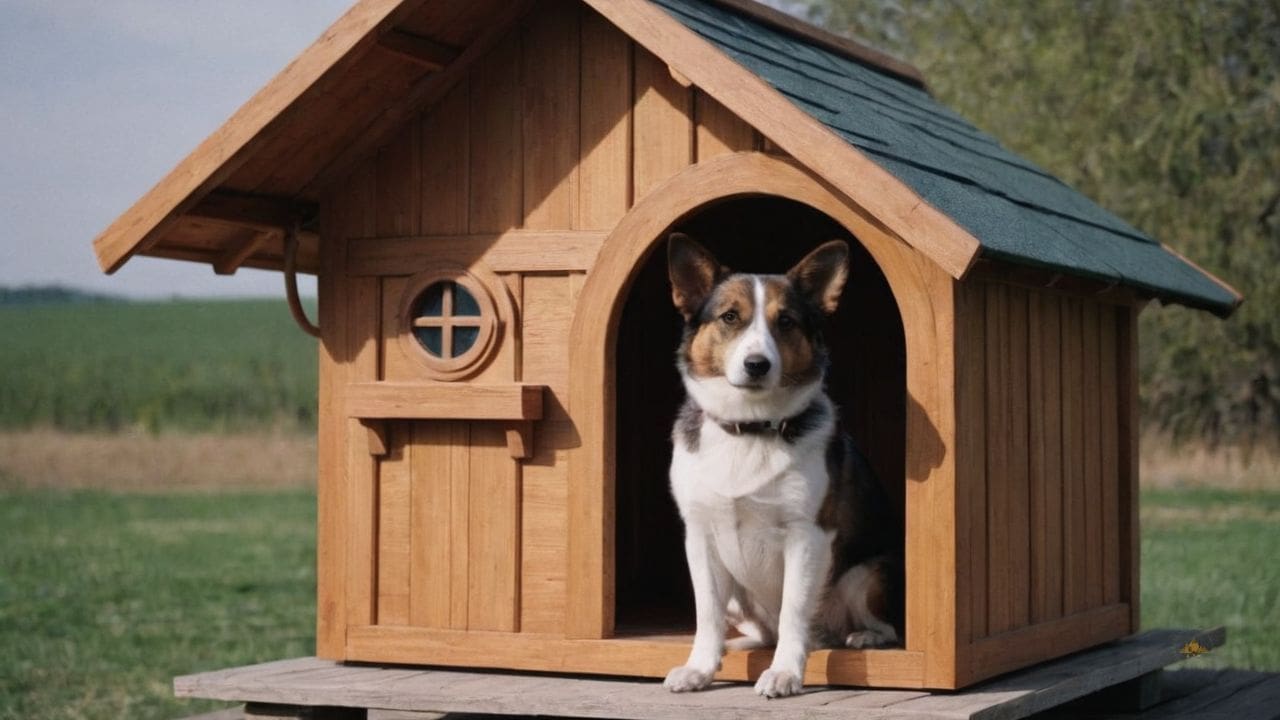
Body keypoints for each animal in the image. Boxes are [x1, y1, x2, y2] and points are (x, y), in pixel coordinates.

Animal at [665, 230, 906, 696]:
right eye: (730, 317)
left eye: (787, 322)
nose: (757, 365)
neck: (750, 427)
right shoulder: (700, 536)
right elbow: (707, 613)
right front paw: (701, 666)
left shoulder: (807, 536)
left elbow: (794, 611)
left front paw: (785, 673)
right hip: (740, 597)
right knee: (760, 631)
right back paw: (738, 644)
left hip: (866, 574)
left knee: (875, 626)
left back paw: (863, 635)